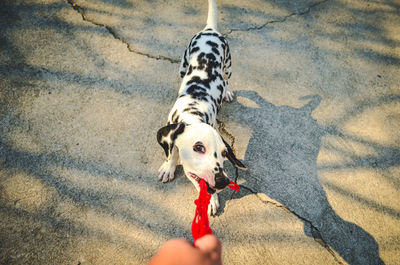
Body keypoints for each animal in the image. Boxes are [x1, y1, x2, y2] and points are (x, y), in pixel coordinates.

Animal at [157, 0, 245, 214]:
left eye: (224, 153)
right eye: (198, 147)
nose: (223, 181)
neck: (192, 110)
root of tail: (210, 30)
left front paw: (211, 200)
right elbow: (172, 151)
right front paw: (168, 167)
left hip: (228, 65)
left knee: (227, 79)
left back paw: (227, 91)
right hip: (183, 64)